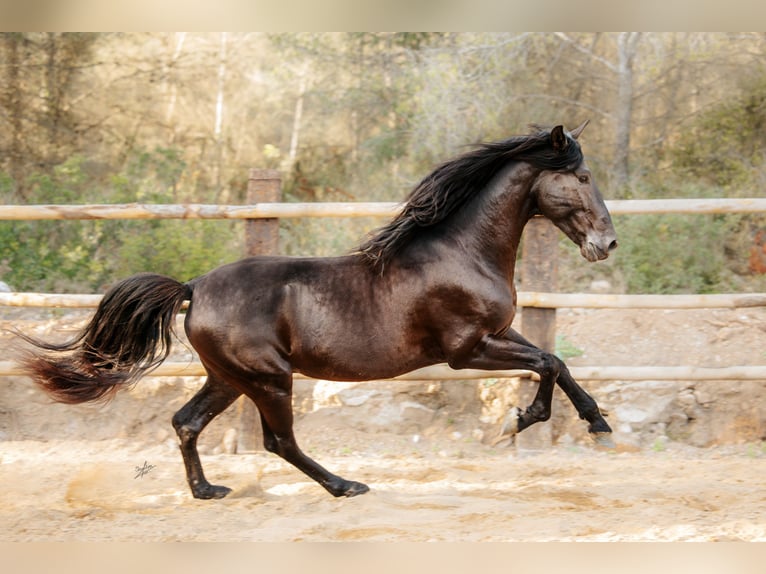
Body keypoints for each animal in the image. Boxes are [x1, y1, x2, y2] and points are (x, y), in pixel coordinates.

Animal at [18, 121, 616, 500]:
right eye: (584, 178)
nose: (606, 244)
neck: (461, 251)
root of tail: (193, 288)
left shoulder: (499, 333)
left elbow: (557, 362)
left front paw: (598, 424)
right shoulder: (465, 350)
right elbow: (547, 364)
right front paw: (518, 423)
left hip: (228, 377)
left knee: (186, 422)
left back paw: (208, 490)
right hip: (268, 379)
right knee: (277, 440)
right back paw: (345, 485)